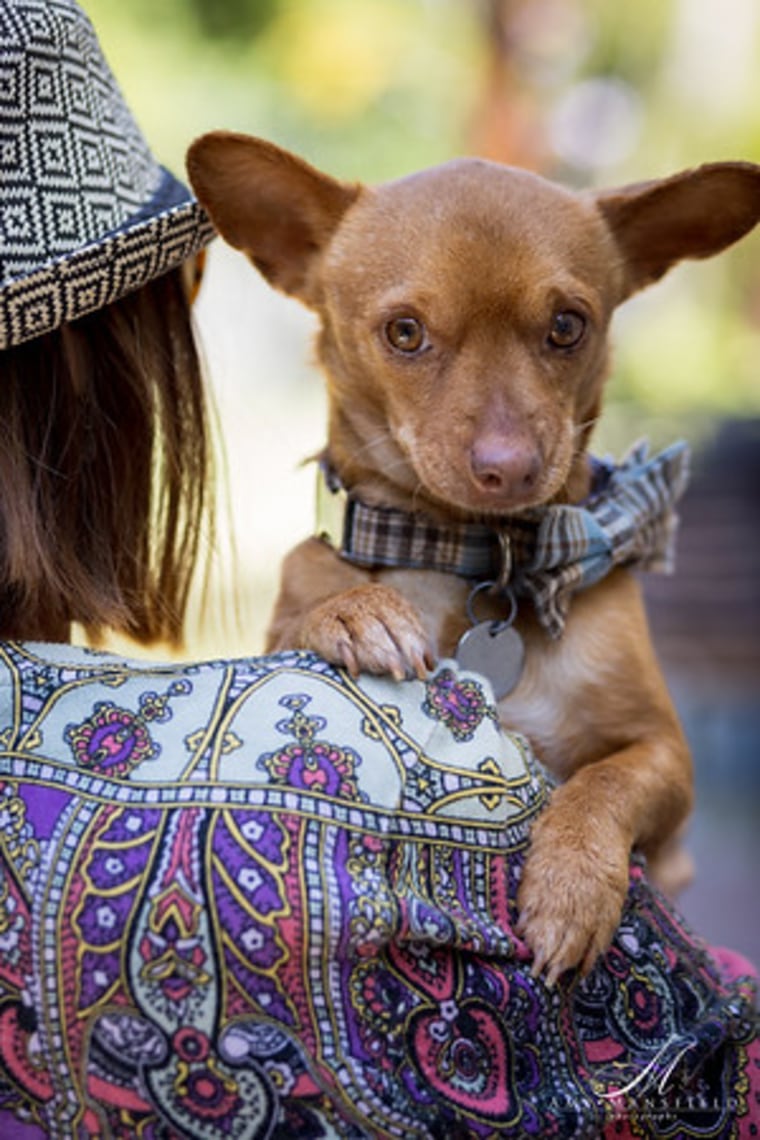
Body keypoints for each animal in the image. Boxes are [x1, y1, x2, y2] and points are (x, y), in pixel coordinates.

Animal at [189, 137, 760, 984]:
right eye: (403, 333)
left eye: (567, 326)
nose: (508, 466)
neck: (474, 553)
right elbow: (309, 595)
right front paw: (354, 611)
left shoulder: (667, 762)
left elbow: (602, 782)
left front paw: (571, 886)